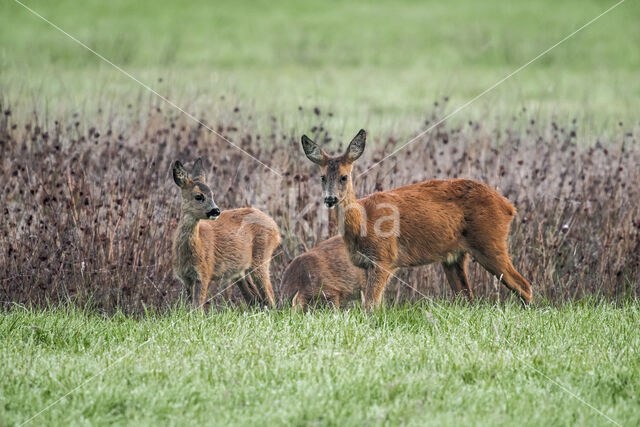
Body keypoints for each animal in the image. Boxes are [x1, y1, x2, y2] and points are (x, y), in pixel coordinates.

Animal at [172, 159, 280, 310]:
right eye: (198, 196)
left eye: (212, 194)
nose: (216, 210)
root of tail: (276, 228)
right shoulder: (186, 278)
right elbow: (190, 307)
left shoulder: (204, 272)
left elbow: (197, 308)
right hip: (241, 271)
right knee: (254, 299)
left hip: (261, 258)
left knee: (270, 297)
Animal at [302, 129, 532, 310]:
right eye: (322, 177)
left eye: (344, 176)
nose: (330, 199)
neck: (363, 222)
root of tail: (509, 207)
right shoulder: (367, 265)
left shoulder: (384, 258)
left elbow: (371, 305)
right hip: (454, 257)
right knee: (467, 296)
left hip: (490, 241)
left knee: (523, 285)